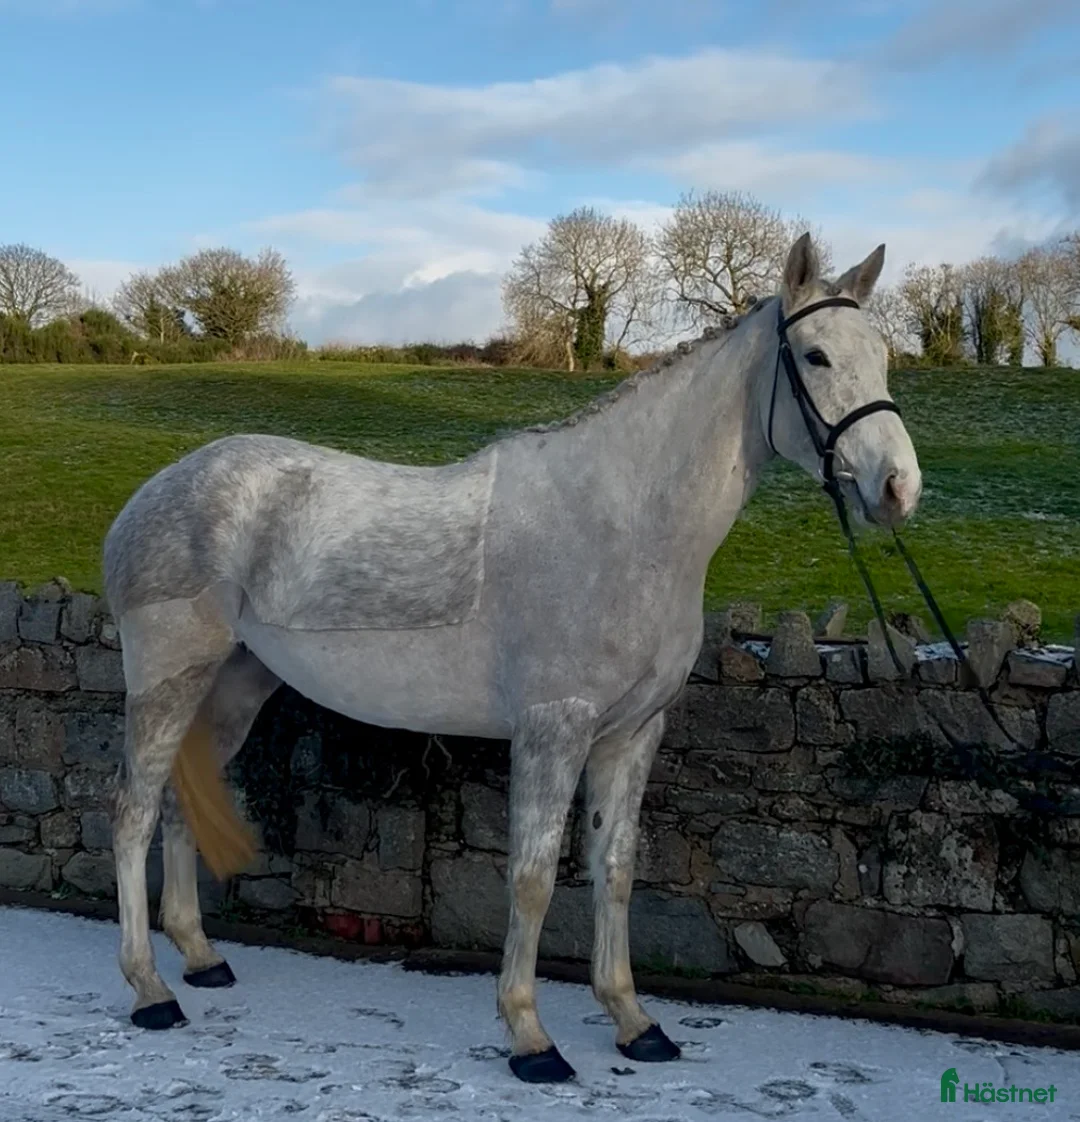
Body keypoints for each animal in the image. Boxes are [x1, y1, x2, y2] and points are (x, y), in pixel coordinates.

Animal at [103, 233, 922, 1084]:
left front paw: (634, 1022)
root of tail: (155, 493)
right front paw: (530, 1036)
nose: (899, 487)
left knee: (178, 802)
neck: (625, 523)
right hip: (167, 680)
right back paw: (151, 991)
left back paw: (200, 958)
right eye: (816, 355)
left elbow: (616, 871)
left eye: (883, 356)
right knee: (132, 813)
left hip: (234, 683)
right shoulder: (553, 728)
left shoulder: (632, 735)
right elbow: (531, 880)